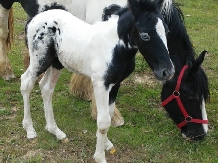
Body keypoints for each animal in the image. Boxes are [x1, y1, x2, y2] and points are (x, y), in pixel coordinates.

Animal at [20, 0, 174, 162]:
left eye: (167, 30)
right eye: (144, 35)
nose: (168, 71)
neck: (113, 47)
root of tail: (34, 19)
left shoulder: (115, 84)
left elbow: (109, 114)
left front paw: (106, 144)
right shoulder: (100, 84)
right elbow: (103, 121)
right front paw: (100, 156)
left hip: (56, 62)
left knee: (46, 87)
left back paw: (55, 131)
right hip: (40, 61)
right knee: (26, 83)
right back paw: (30, 129)